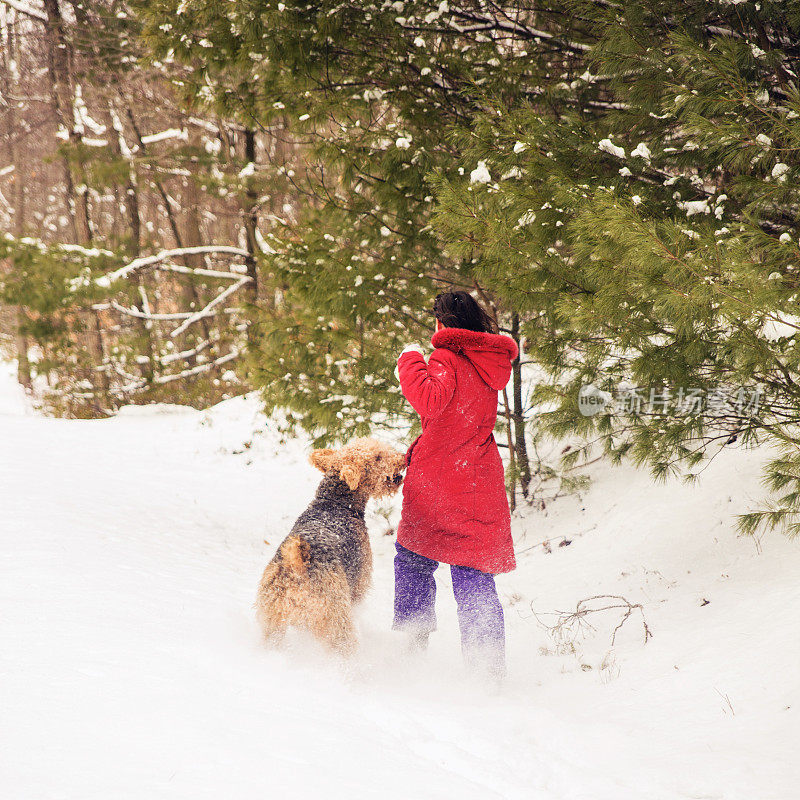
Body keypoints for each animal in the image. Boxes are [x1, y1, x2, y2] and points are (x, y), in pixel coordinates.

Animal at [256, 440, 406, 652]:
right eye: (378, 457)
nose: (403, 457)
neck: (334, 503)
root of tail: (297, 567)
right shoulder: (359, 584)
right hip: (336, 620)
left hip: (273, 621)